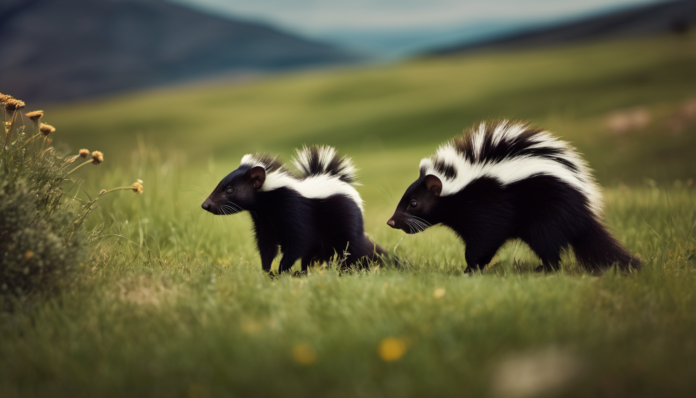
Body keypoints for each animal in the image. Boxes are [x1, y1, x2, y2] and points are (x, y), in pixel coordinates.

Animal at [201, 146, 388, 274]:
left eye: (229, 190)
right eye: (221, 185)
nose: (205, 204)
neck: (268, 207)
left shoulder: (294, 212)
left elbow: (298, 243)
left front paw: (281, 271)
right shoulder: (264, 223)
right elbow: (267, 247)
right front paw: (267, 273)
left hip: (344, 224)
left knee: (349, 249)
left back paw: (344, 271)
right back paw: (306, 272)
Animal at [386, 119, 640, 272]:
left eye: (414, 203)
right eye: (404, 200)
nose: (391, 221)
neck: (459, 188)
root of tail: (583, 212)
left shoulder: (487, 208)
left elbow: (485, 240)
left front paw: (470, 269)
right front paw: (474, 268)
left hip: (546, 214)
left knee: (547, 244)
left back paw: (545, 269)